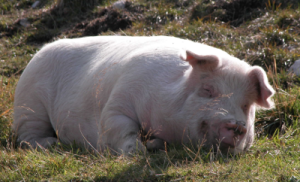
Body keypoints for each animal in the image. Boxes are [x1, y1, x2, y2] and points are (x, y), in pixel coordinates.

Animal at [12, 36, 276, 154]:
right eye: (208, 90)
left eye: (246, 105)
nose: (237, 125)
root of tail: (40, 51)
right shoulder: (118, 101)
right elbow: (119, 127)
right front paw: (140, 148)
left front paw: (153, 143)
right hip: (29, 105)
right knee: (26, 137)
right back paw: (52, 143)